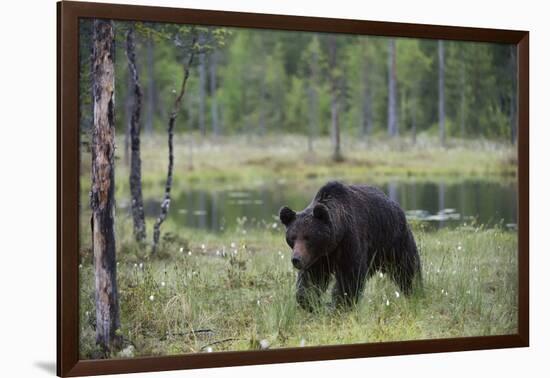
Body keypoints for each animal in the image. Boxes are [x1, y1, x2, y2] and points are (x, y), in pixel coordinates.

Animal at [280, 181, 422, 310]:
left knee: (407, 267)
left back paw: (416, 291)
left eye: (308, 237)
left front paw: (339, 304)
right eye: (292, 237)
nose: (296, 259)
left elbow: (350, 275)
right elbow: (311, 279)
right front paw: (309, 302)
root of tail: (395, 204)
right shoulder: (317, 258)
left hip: (392, 240)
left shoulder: (349, 241)